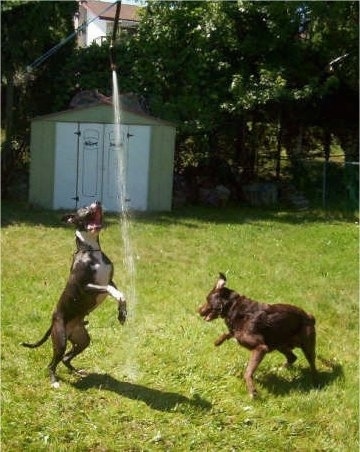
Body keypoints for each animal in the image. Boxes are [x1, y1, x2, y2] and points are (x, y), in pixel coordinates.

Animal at [22, 201, 126, 388]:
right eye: (84, 208)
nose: (98, 202)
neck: (91, 251)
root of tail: (54, 322)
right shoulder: (86, 287)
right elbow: (111, 290)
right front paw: (121, 307)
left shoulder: (110, 280)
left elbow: (119, 292)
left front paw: (122, 314)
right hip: (61, 340)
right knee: (52, 363)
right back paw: (54, 381)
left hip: (82, 340)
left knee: (66, 358)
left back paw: (77, 371)